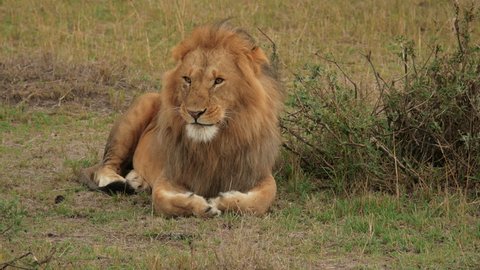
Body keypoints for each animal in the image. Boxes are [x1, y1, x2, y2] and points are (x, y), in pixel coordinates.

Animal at [80, 23, 284, 217]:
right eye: (187, 79)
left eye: (218, 81)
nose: (194, 113)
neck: (214, 145)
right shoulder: (169, 175)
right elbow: (162, 200)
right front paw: (203, 207)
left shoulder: (258, 172)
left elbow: (261, 200)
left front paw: (222, 201)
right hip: (142, 106)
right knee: (106, 164)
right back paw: (120, 181)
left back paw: (136, 180)